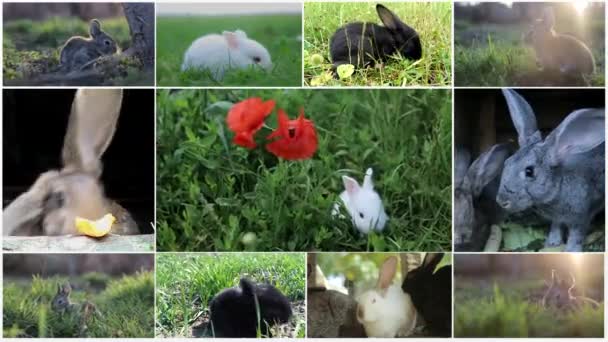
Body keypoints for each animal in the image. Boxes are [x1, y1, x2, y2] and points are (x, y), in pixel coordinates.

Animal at [496, 89, 604, 252]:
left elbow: (576, 234)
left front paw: (571, 250)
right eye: (507, 162)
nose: (502, 201)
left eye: (529, 171)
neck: (559, 186)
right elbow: (556, 227)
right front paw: (552, 243)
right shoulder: (557, 218)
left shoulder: (581, 216)